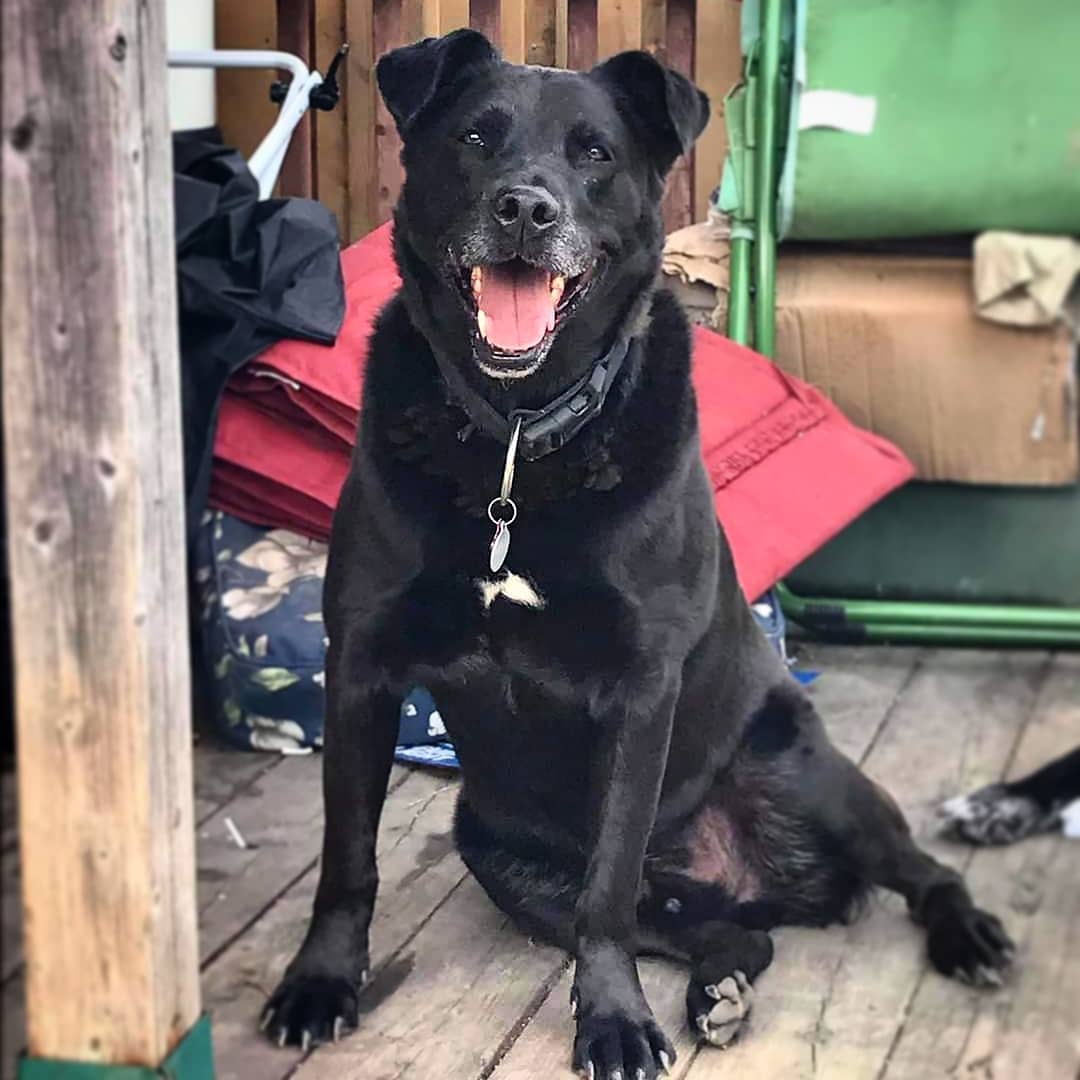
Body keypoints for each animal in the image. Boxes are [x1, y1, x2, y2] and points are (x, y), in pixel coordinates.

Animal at [261, 29, 1010, 1075]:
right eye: (477, 136)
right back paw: (720, 988)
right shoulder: (362, 665)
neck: (517, 438)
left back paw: (964, 934)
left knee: (922, 870)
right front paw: (321, 982)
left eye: (595, 154)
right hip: (493, 847)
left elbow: (608, 890)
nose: (525, 210)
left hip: (811, 775)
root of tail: (746, 878)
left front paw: (613, 1022)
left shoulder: (636, 687)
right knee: (735, 934)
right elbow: (347, 859)